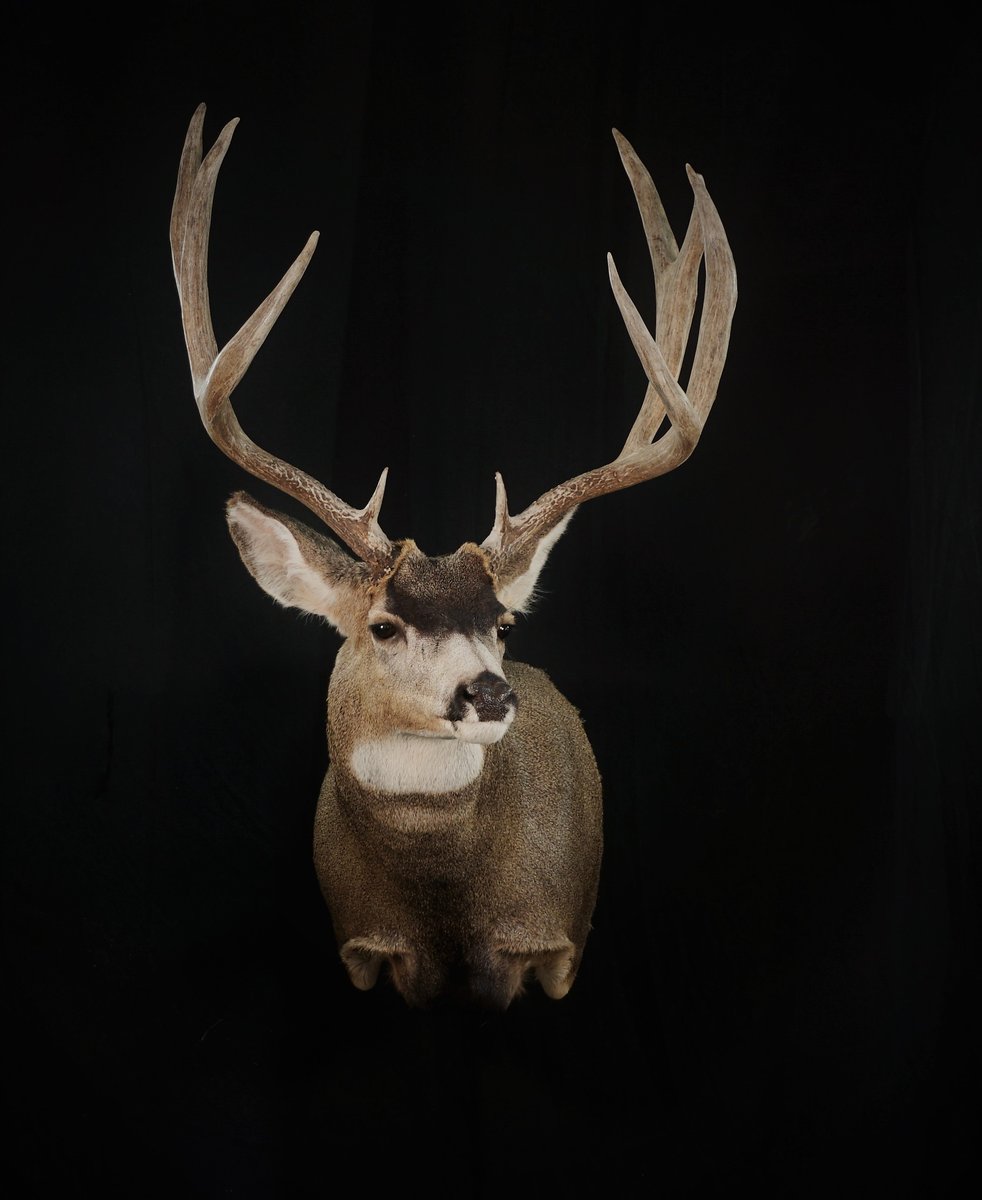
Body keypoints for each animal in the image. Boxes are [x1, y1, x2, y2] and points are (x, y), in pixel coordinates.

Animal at [170, 103, 736, 1010]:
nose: (490, 692)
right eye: (384, 626)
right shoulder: (363, 948)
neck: (444, 899)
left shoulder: (556, 943)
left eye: (503, 622)